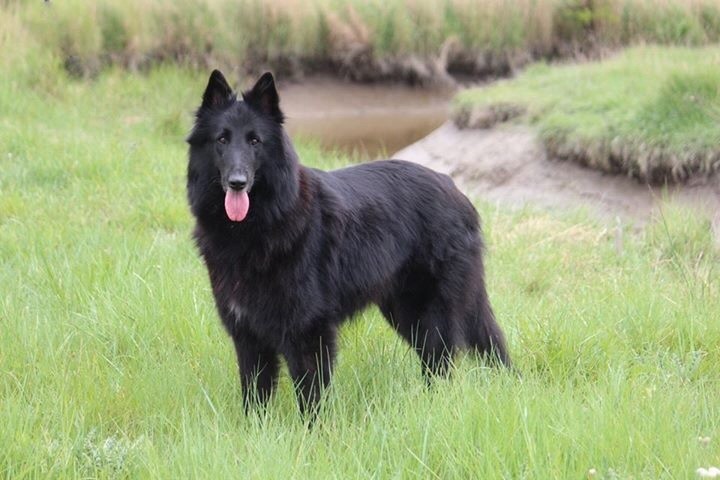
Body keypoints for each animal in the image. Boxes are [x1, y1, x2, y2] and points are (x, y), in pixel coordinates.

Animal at [187, 70, 512, 412]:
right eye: (222, 139)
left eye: (254, 141)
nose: (237, 182)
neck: (264, 222)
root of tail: (455, 189)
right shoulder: (248, 336)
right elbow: (254, 399)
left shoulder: (308, 333)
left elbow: (311, 399)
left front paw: (311, 428)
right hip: (405, 313)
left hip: (432, 314)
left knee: (442, 366)